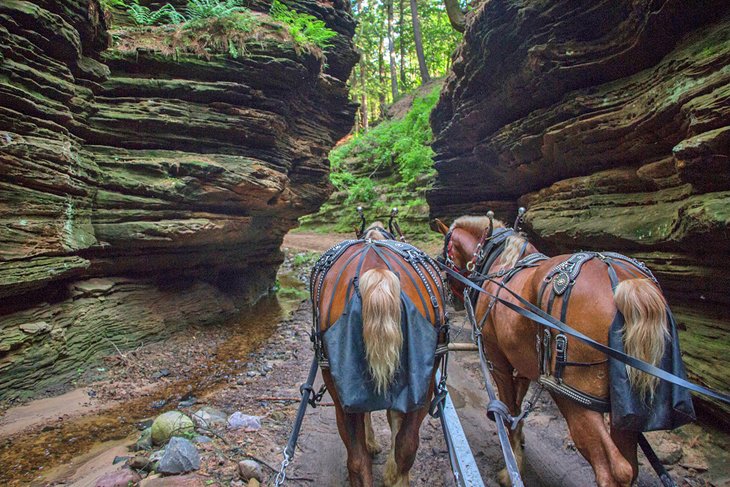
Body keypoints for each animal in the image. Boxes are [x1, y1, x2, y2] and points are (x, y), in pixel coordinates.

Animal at [436, 216, 672, 487]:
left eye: (447, 251)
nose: (449, 293)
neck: (501, 264)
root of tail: (623, 282)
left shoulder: (498, 362)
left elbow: (508, 408)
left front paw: (510, 468)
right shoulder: (524, 364)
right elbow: (517, 408)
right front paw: (519, 445)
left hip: (575, 399)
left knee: (614, 469)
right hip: (625, 409)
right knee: (629, 465)